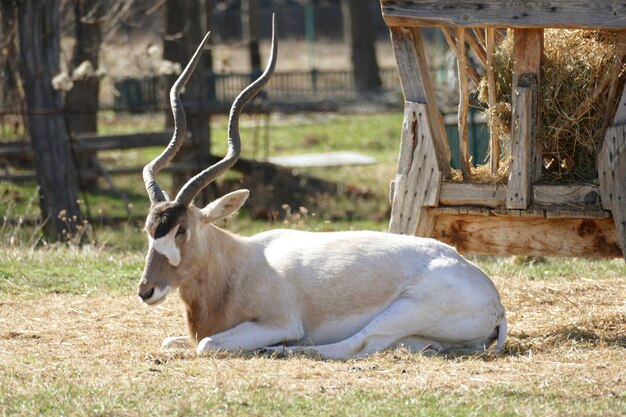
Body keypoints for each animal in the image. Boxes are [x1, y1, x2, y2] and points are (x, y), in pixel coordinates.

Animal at [134, 19, 504, 360]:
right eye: (149, 230)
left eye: (182, 230)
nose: (146, 290)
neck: (236, 265)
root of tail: (496, 303)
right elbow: (171, 341)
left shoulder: (279, 322)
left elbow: (206, 344)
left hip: (404, 309)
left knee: (356, 344)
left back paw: (280, 350)